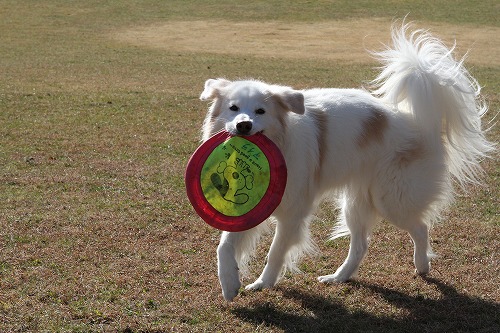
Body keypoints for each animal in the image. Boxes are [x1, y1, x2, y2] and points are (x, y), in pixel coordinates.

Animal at [196, 24, 492, 300]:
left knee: (420, 227)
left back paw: (422, 266)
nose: (243, 125)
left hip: (391, 200)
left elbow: (276, 252)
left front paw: (263, 283)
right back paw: (339, 277)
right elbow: (224, 246)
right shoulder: (248, 209)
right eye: (233, 108)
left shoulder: (293, 214)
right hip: (356, 203)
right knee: (361, 245)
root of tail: (419, 123)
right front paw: (229, 284)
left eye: (260, 111)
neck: (282, 141)